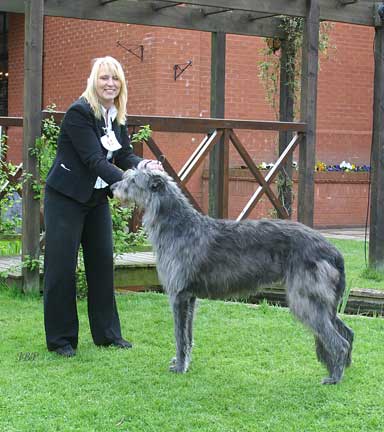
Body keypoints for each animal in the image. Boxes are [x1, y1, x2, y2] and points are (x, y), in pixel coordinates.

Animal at [109, 169, 352, 384]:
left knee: (339, 342)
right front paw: (184, 362)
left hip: (305, 299)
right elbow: (188, 335)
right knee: (348, 333)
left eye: (133, 180)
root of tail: (333, 250)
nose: (112, 188)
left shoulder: (178, 295)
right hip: (322, 301)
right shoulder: (190, 297)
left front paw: (179, 366)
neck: (178, 226)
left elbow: (179, 336)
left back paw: (334, 377)